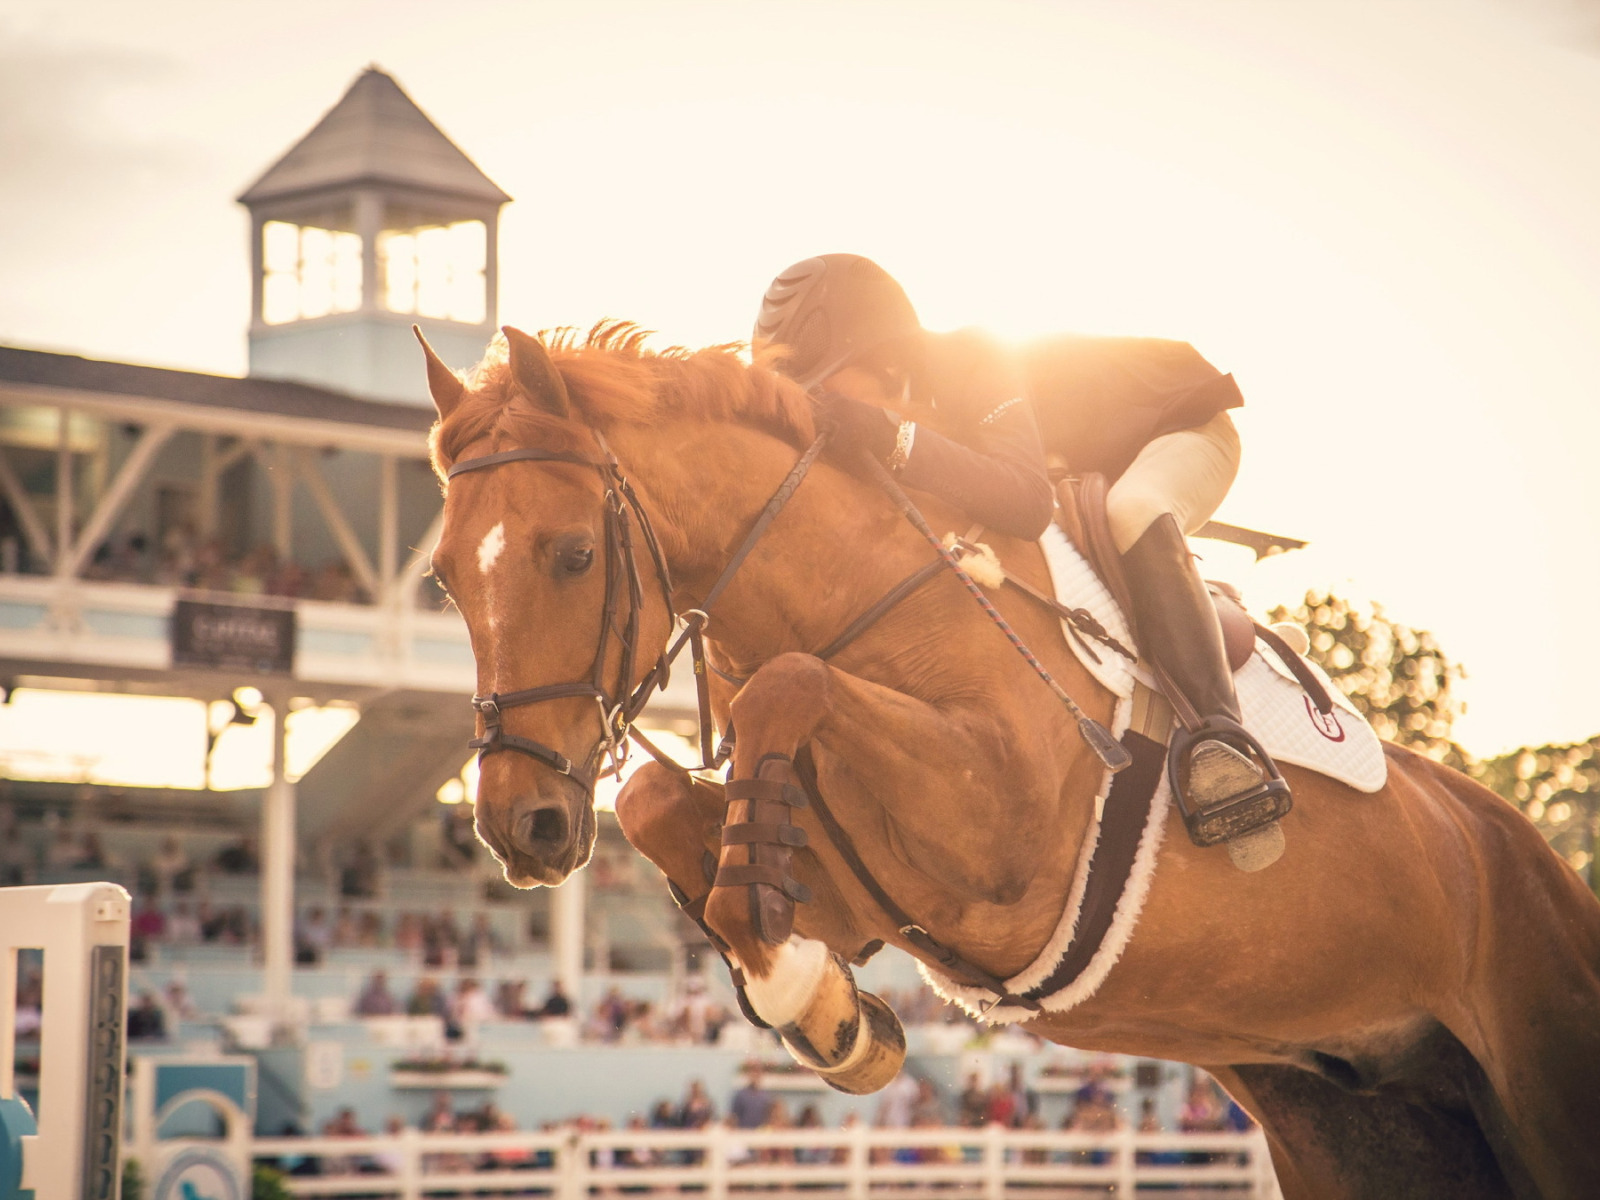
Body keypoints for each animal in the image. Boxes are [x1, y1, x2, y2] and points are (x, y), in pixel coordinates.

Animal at [422, 324, 1600, 1196]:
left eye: (574, 555)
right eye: (442, 579)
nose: (523, 828)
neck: (866, 589)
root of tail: (1537, 859)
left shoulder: (1001, 844)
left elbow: (784, 685)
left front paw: (802, 991)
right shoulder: (869, 890)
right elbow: (664, 796)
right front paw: (826, 1007)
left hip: (1543, 1081)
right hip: (1360, 1122)